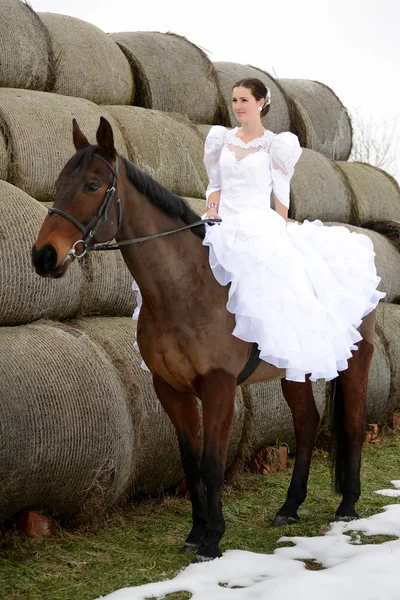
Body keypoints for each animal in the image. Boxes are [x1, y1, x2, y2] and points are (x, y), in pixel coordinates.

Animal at [31, 117, 376, 564]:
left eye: (92, 185)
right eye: (59, 184)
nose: (43, 257)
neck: (188, 289)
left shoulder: (218, 385)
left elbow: (213, 461)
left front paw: (213, 539)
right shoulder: (170, 388)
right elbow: (191, 460)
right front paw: (196, 532)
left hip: (355, 362)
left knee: (352, 423)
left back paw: (347, 506)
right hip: (294, 371)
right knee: (306, 425)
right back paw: (289, 508)